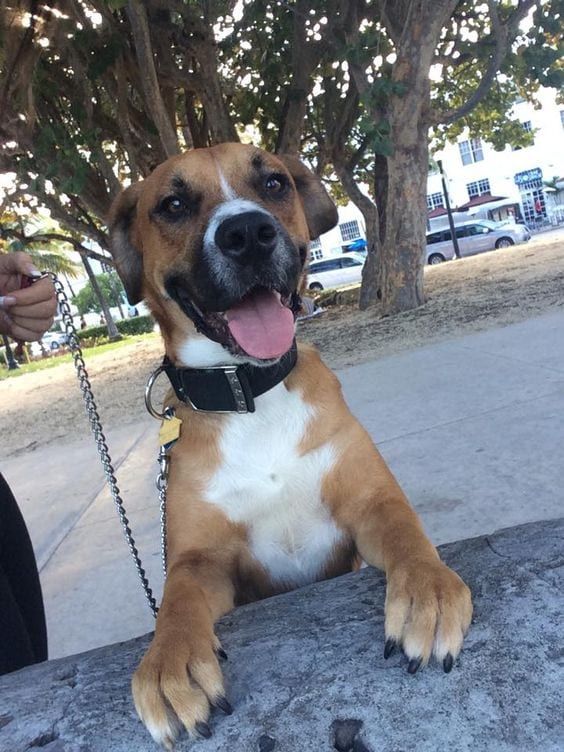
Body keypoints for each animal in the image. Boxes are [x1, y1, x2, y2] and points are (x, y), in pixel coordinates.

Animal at [109, 144, 472, 748]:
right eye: (174, 204)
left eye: (274, 182)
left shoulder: (370, 507)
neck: (251, 391)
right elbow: (176, 602)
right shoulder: (202, 562)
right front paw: (168, 663)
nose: (247, 233)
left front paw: (430, 589)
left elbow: (408, 534)